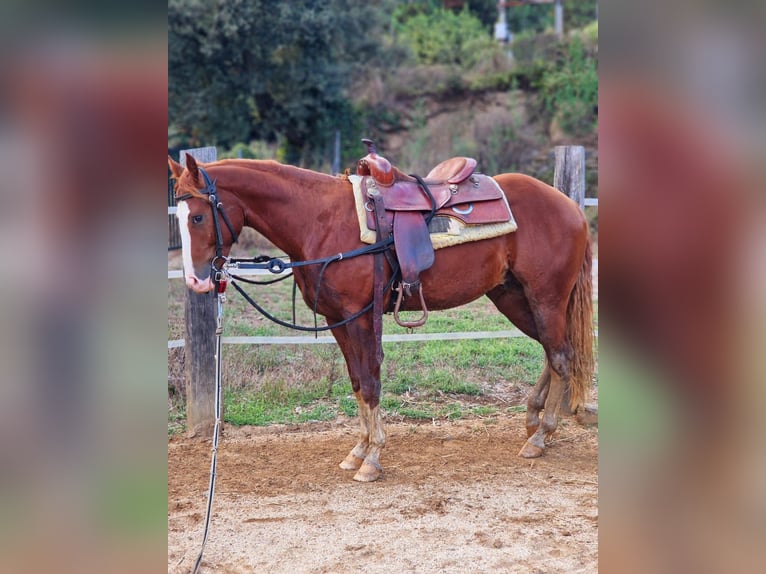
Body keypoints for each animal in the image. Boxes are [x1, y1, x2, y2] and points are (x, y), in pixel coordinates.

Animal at [171, 153, 596, 482]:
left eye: (197, 218)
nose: (196, 280)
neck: (321, 219)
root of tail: (571, 207)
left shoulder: (360, 317)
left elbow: (372, 381)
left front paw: (373, 458)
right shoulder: (339, 321)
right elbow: (358, 382)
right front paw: (357, 452)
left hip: (546, 298)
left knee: (561, 356)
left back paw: (541, 437)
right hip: (513, 297)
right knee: (553, 352)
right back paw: (534, 421)